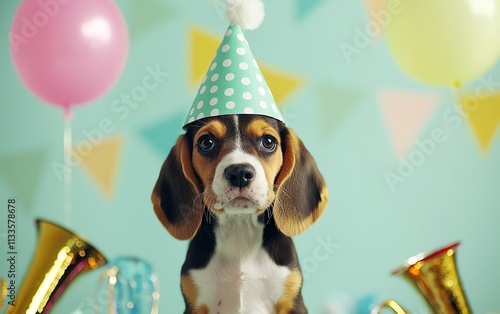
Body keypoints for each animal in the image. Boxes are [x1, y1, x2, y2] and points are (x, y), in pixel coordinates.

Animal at [154, 114, 330, 312]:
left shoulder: (292, 301)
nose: (239, 173)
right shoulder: (195, 303)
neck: (239, 227)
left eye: (268, 142)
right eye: (206, 142)